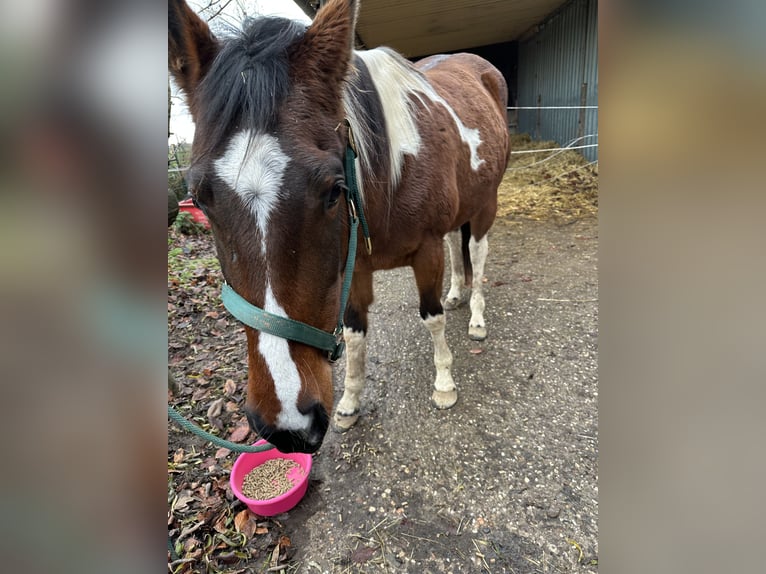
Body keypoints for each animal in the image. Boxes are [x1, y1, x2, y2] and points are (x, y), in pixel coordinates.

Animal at [168, 0, 510, 454]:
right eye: (201, 199)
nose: (287, 427)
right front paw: (349, 401)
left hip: (486, 203)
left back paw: (476, 319)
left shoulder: (426, 250)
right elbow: (355, 334)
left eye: (334, 190)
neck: (388, 178)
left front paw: (444, 383)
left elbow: (431, 317)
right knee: (459, 243)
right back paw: (457, 294)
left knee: (478, 253)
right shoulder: (354, 266)